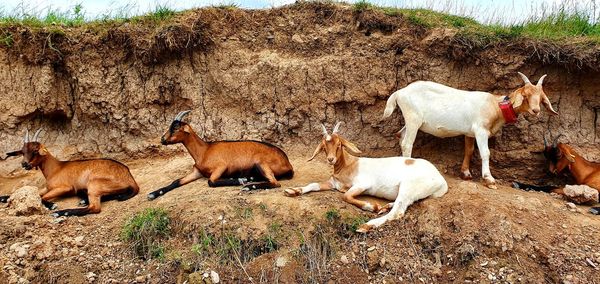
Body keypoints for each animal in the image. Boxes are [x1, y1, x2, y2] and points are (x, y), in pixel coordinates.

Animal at [1, 129, 139, 217]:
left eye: (35, 150)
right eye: (23, 151)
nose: (24, 164)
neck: (56, 168)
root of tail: (129, 177)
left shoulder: (65, 187)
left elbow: (42, 197)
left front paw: (53, 206)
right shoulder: (47, 188)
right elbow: (30, 194)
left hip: (94, 185)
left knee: (95, 208)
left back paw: (62, 212)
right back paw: (83, 200)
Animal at [148, 111, 292, 200]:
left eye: (175, 128)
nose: (162, 139)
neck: (204, 151)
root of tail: (288, 163)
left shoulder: (221, 167)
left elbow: (211, 181)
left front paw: (240, 181)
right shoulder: (197, 172)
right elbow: (176, 181)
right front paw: (153, 194)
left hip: (261, 163)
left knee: (275, 183)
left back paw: (247, 185)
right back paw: (248, 179)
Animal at [284, 122, 448, 233]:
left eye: (339, 145)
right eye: (324, 146)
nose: (331, 159)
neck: (348, 165)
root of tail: (441, 180)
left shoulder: (362, 185)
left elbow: (346, 196)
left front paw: (372, 206)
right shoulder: (333, 183)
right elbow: (313, 184)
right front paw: (292, 191)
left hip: (408, 187)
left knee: (398, 212)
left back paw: (367, 225)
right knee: (398, 206)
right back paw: (385, 207)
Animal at [382, 72, 560, 189]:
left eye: (541, 97)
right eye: (526, 95)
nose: (536, 110)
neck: (495, 105)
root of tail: (399, 92)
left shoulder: (469, 133)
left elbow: (469, 150)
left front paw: (466, 173)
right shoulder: (480, 130)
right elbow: (485, 153)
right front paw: (489, 179)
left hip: (411, 121)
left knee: (400, 136)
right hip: (413, 118)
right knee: (407, 143)